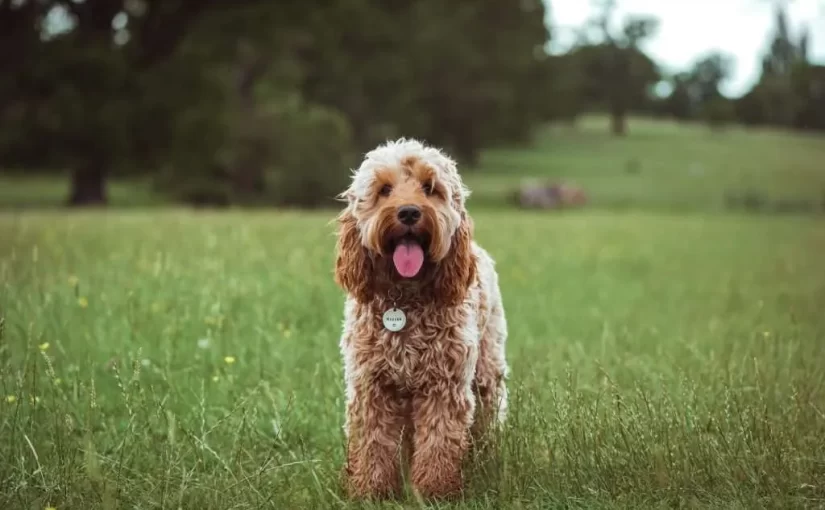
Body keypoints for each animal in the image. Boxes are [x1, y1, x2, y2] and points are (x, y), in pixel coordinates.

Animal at [334, 137, 508, 500]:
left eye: (430, 188)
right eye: (384, 189)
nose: (410, 212)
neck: (404, 298)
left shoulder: (444, 384)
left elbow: (440, 440)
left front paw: (433, 491)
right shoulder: (371, 384)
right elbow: (372, 441)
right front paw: (371, 490)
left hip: (487, 370)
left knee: (487, 416)